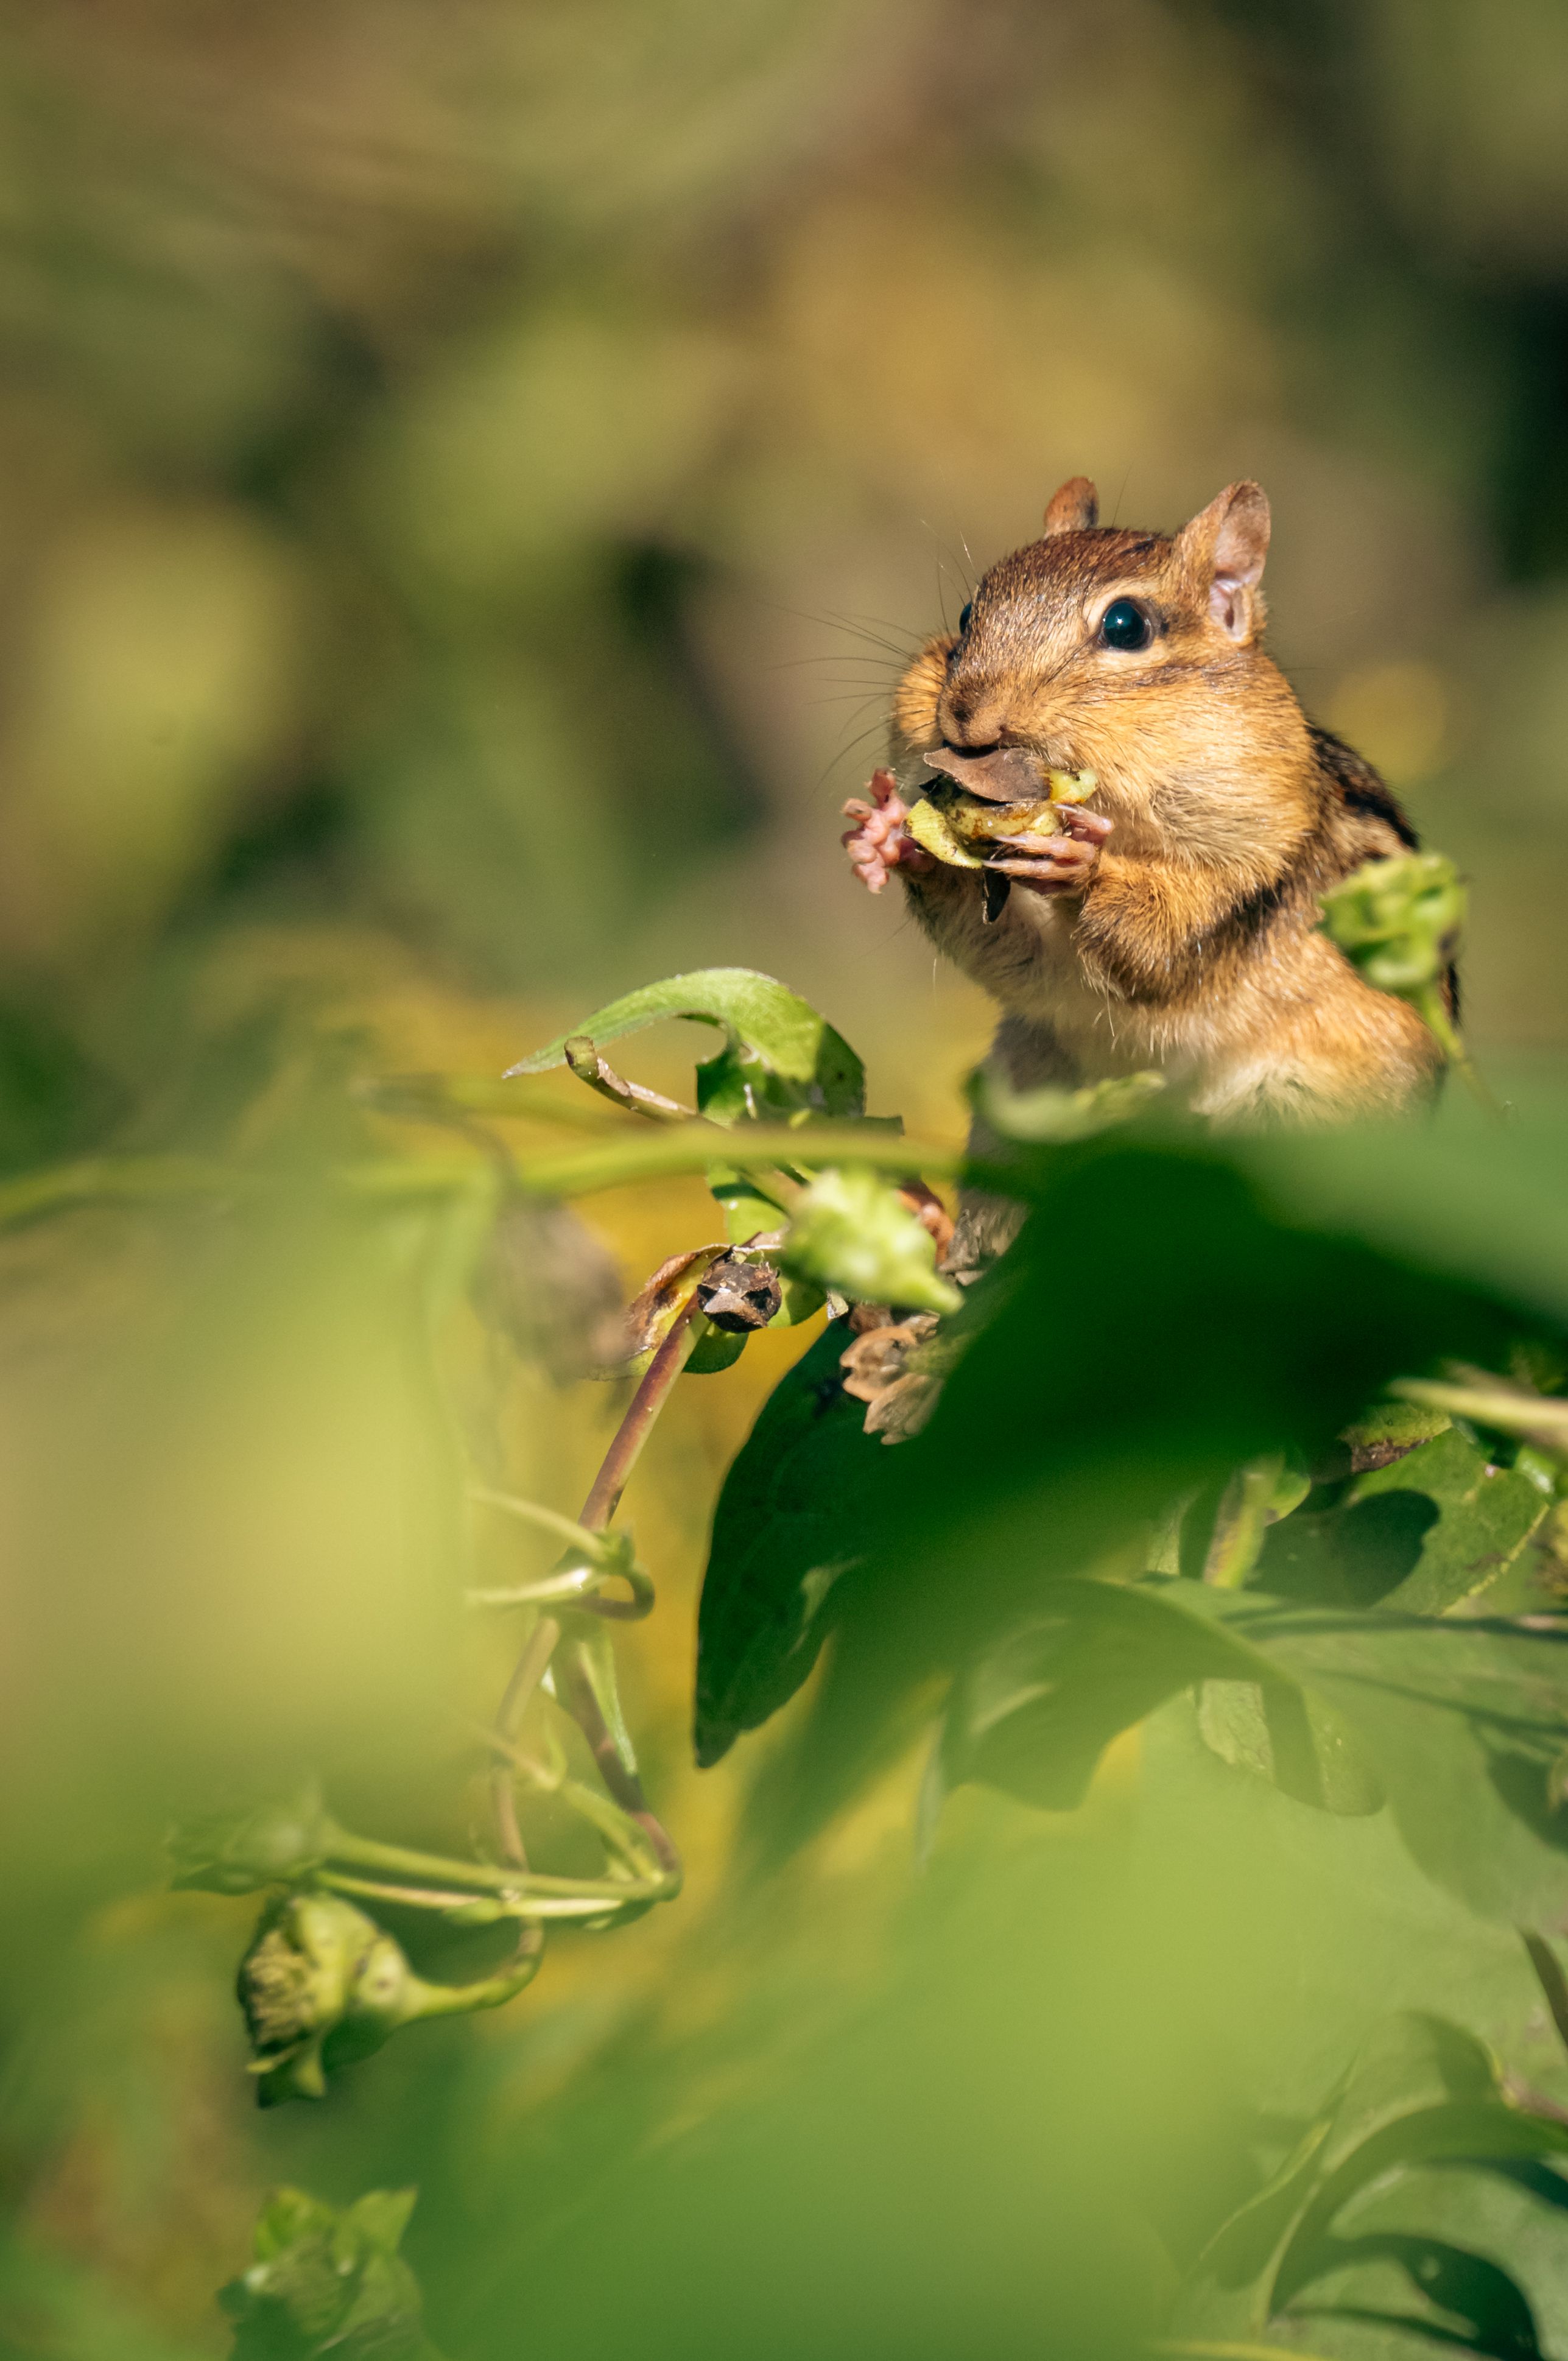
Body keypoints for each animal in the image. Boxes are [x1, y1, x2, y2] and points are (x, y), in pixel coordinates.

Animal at [841, 477, 1448, 1145]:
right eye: (966, 615)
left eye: (1126, 625)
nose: (966, 714)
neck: (1124, 831)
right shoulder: (1041, 973)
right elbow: (1001, 952)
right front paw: (889, 839)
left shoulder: (1245, 875)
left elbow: (1157, 943)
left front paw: (1079, 863)